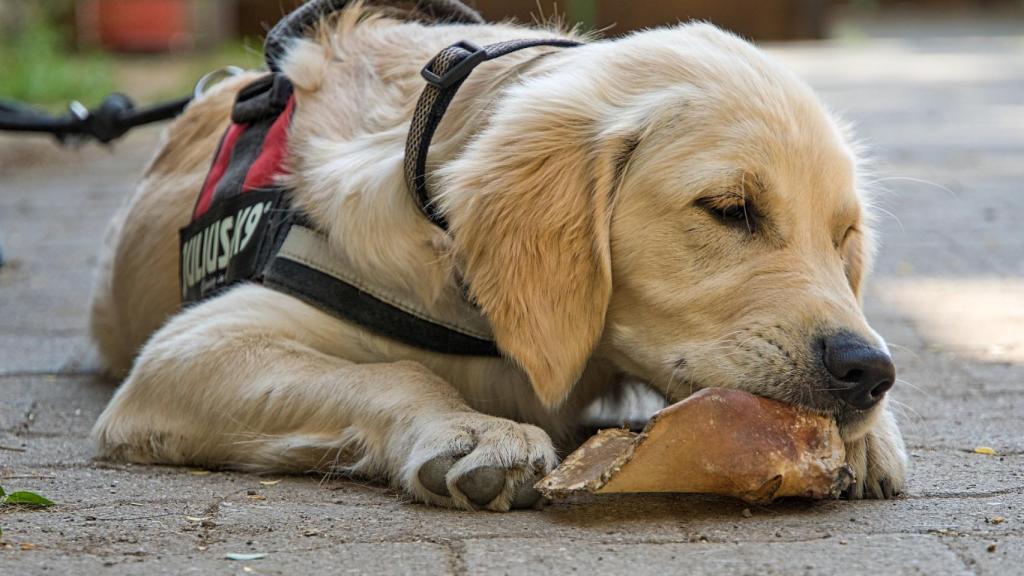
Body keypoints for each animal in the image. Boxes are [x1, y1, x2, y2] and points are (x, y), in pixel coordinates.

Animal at [88, 3, 905, 506]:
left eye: (843, 240)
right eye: (730, 209)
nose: (868, 372)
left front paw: (871, 439)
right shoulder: (188, 349)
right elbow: (398, 371)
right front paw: (474, 432)